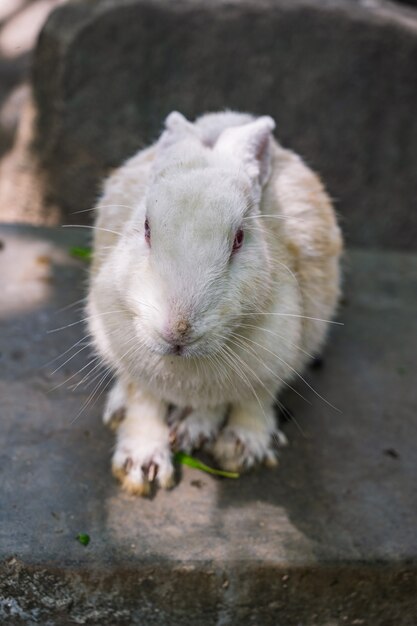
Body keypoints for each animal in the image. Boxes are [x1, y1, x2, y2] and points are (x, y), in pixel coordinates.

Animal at [87, 109, 342, 494]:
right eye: (146, 228)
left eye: (239, 239)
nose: (177, 330)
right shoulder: (126, 351)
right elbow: (143, 401)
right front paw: (142, 465)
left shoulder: (278, 356)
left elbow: (255, 400)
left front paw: (241, 447)